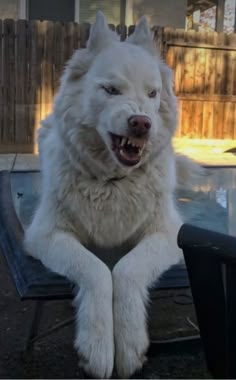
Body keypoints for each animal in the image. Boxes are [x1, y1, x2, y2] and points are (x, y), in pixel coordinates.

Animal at [24, 11, 199, 378]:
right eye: (111, 90)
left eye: (152, 93)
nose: (141, 123)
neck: (113, 181)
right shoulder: (45, 235)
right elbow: (97, 271)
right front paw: (98, 346)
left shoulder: (168, 235)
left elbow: (127, 270)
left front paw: (130, 342)